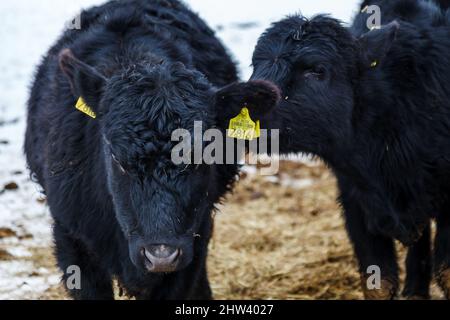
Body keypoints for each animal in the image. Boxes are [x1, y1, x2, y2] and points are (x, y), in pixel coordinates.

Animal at [223, 1, 450, 298]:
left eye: (316, 70)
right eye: (256, 64)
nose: (245, 103)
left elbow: (446, 273)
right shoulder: (356, 203)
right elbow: (378, 283)